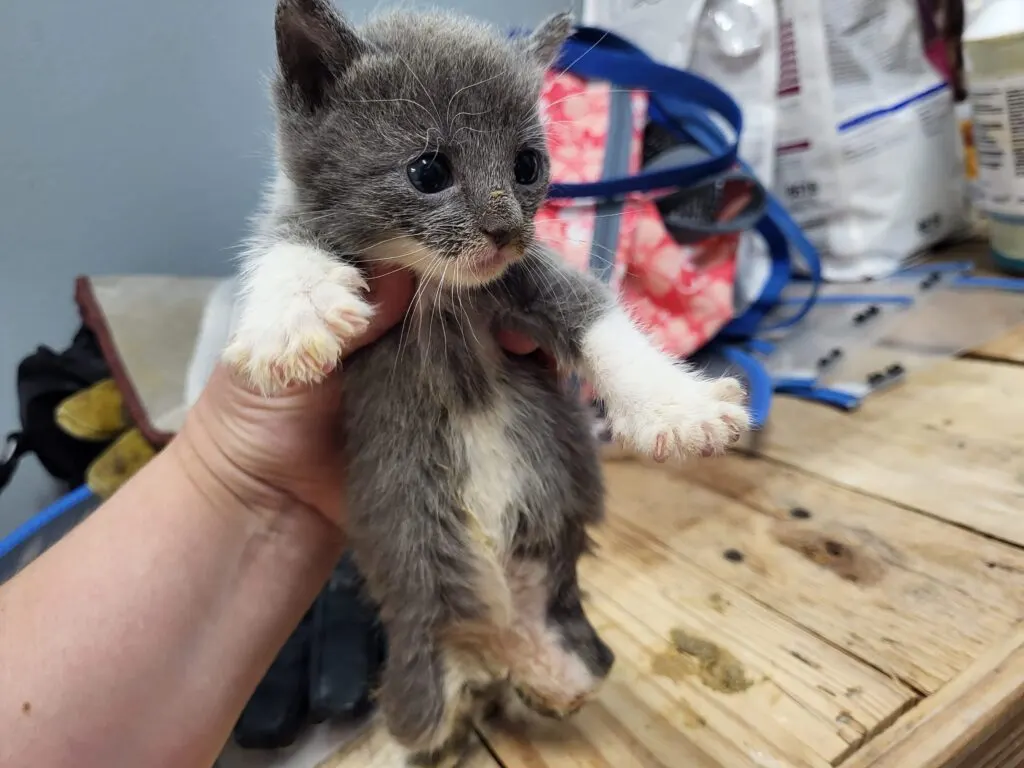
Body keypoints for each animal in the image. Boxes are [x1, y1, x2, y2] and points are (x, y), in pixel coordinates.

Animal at [226, 3, 753, 765]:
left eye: (527, 165)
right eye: (429, 169)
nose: (506, 228)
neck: (438, 295)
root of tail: (492, 648)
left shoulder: (526, 281)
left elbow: (594, 314)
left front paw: (679, 407)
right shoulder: (308, 222)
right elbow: (286, 239)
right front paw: (292, 316)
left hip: (574, 653)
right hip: (418, 680)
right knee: (419, 726)